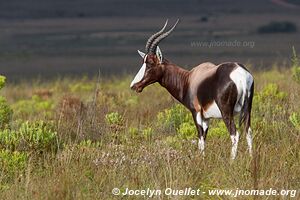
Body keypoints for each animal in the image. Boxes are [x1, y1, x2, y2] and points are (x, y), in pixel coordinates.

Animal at [130, 19, 254, 159]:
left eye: (150, 64)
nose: (134, 85)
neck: (189, 79)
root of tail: (241, 74)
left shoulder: (196, 113)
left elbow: (200, 138)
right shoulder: (206, 118)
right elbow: (204, 138)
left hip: (226, 112)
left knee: (234, 134)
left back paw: (231, 160)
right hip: (247, 110)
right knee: (248, 132)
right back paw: (251, 158)